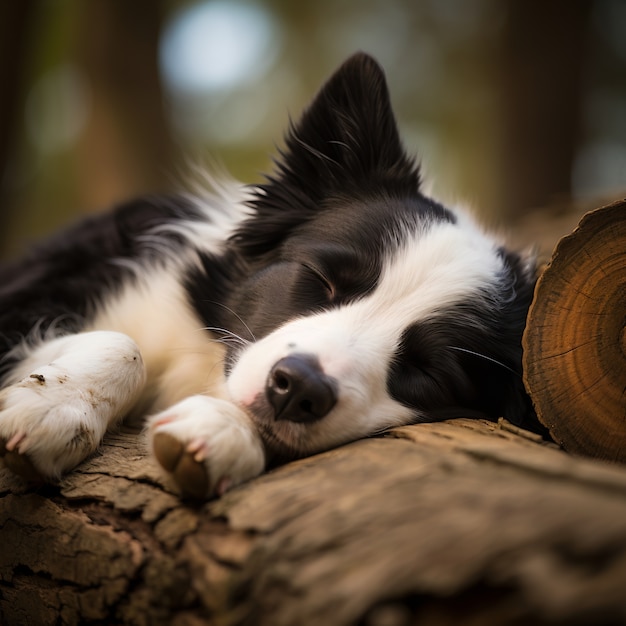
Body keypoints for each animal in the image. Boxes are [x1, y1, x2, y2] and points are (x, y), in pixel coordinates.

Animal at [0, 53, 536, 498]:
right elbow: (123, 344)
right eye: (321, 279)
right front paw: (56, 408)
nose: (299, 389)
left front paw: (220, 429)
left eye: (429, 371)